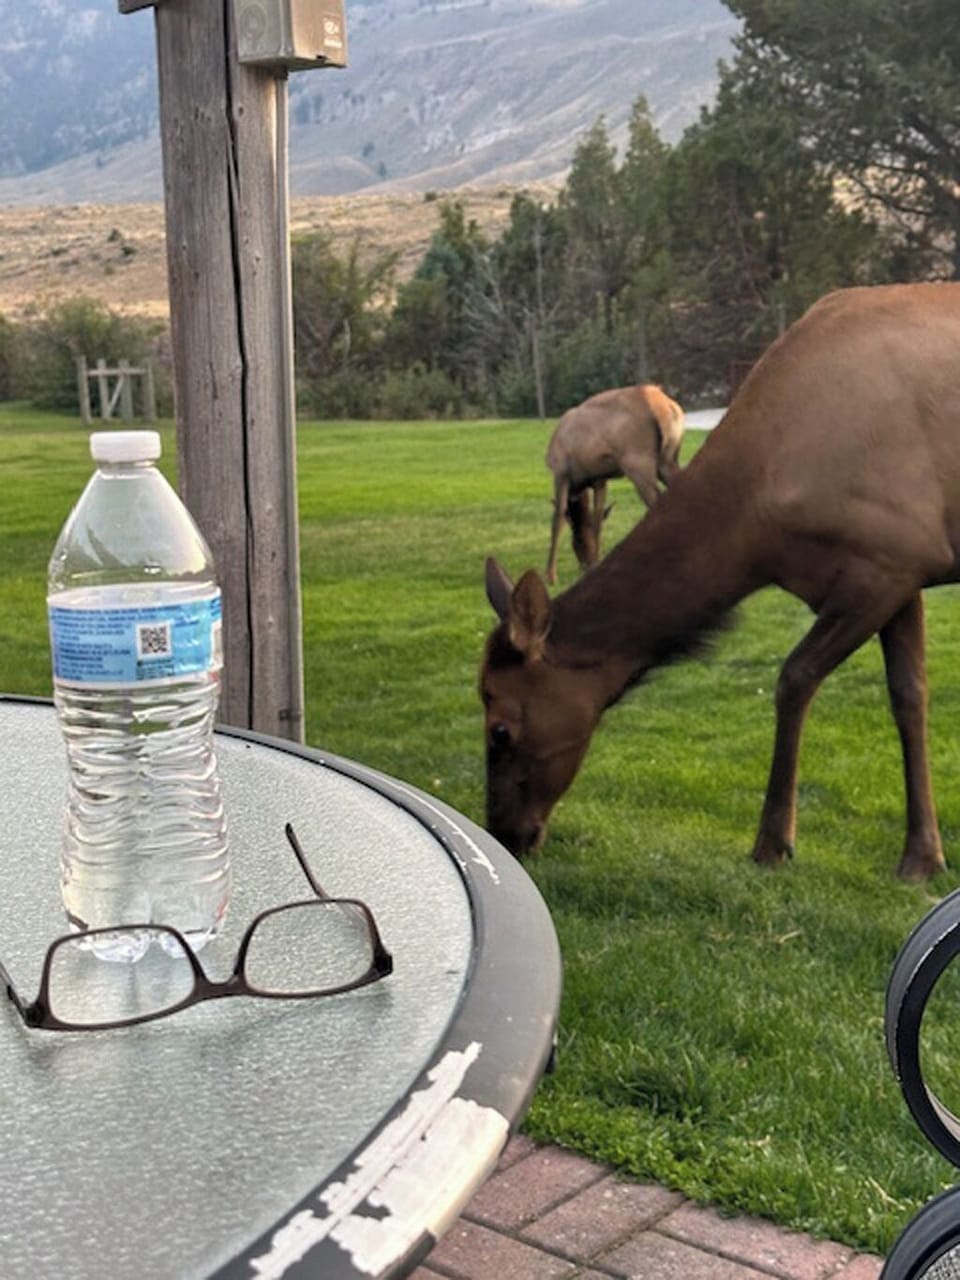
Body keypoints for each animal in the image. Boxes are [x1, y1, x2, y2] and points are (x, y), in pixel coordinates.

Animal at [545, 384, 685, 585]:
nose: (584, 565)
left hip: (637, 462)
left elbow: (557, 521)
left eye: (576, 541)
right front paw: (597, 562)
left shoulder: (560, 472)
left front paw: (550, 575)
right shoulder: (599, 480)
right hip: (667, 459)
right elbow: (597, 521)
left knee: (657, 502)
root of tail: (664, 406)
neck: (578, 484)